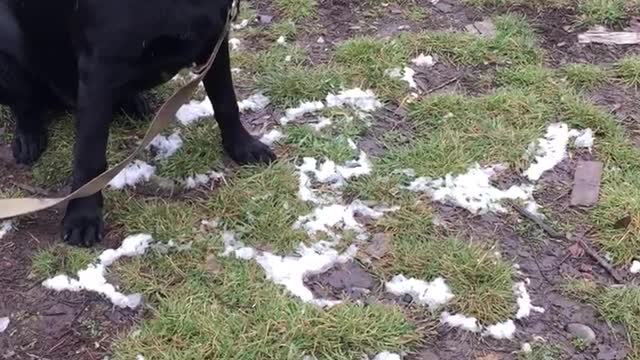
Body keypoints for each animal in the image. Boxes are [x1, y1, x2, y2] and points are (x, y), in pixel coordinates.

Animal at [0, 0, 276, 248]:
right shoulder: (98, 68)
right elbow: (89, 155)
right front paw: (82, 216)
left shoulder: (215, 39)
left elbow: (226, 102)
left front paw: (243, 146)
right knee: (26, 106)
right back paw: (29, 138)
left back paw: (133, 102)